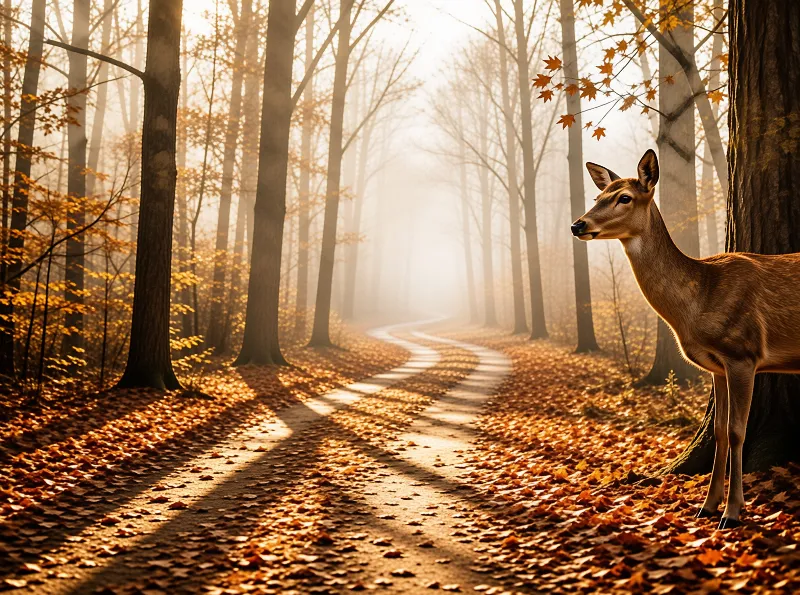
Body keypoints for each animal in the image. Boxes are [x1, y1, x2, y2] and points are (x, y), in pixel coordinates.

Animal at [571, 149, 800, 529]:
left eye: (624, 197)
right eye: (597, 197)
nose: (578, 225)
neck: (700, 300)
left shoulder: (743, 352)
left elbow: (737, 431)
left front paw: (732, 513)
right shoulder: (717, 366)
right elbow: (719, 431)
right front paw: (707, 506)